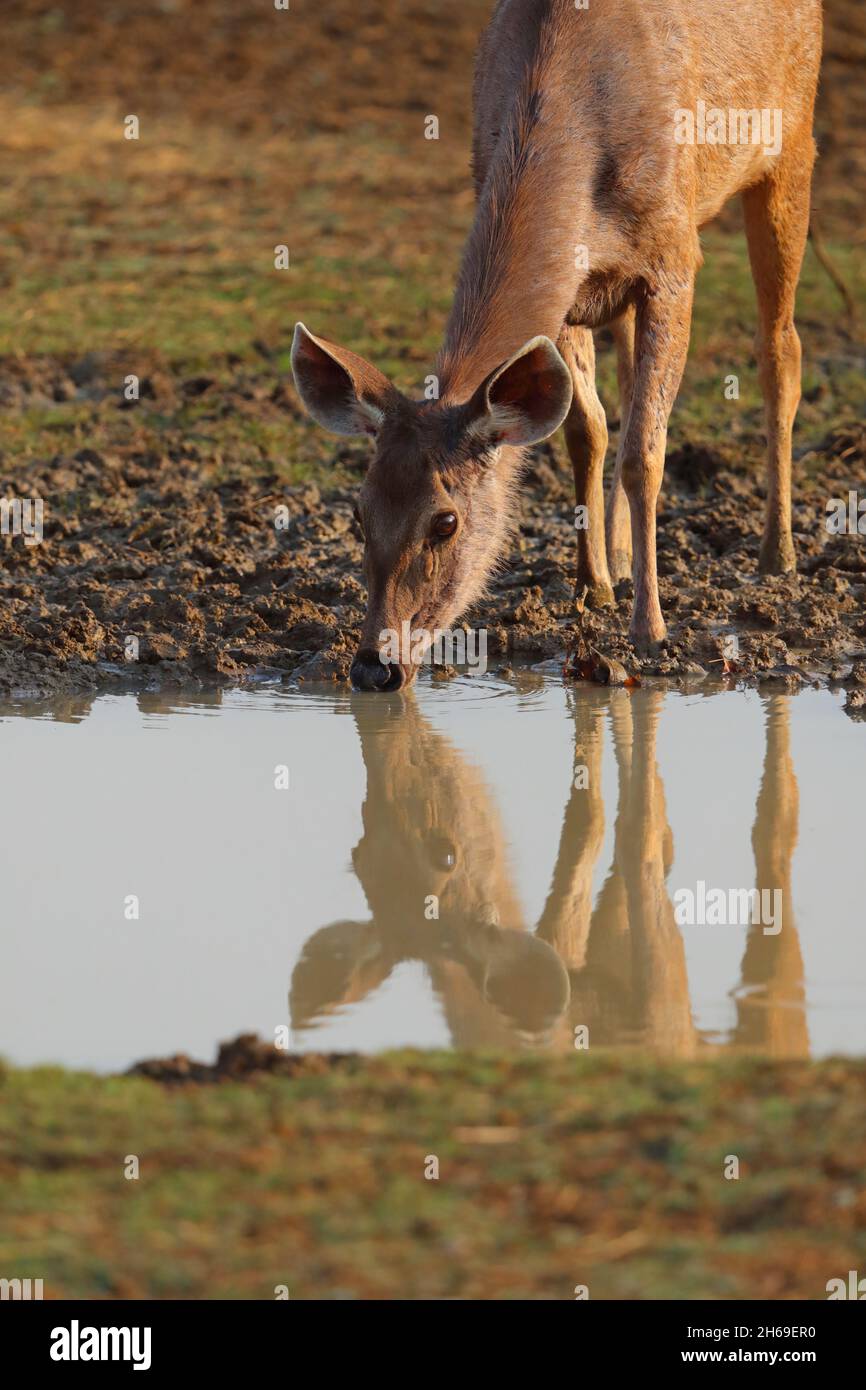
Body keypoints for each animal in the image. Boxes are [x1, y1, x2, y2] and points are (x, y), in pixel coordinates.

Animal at [293, 0, 828, 689]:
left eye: (445, 521)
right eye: (359, 513)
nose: (373, 667)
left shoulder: (674, 257)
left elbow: (645, 453)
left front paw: (651, 632)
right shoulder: (575, 290)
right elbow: (586, 430)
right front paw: (591, 587)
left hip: (792, 144)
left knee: (780, 351)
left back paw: (776, 553)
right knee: (625, 388)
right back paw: (622, 561)